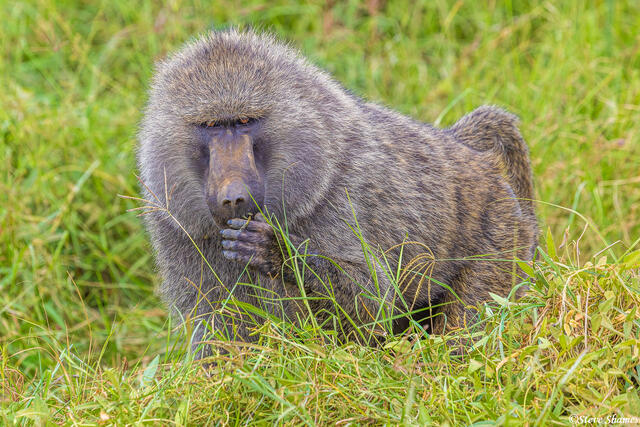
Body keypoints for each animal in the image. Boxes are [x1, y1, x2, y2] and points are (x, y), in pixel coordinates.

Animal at [137, 29, 538, 358]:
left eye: (245, 122)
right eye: (211, 126)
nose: (233, 197)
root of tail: (469, 154)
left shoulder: (339, 197)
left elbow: (371, 304)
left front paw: (277, 252)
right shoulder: (177, 229)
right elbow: (221, 336)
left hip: (498, 234)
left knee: (467, 327)